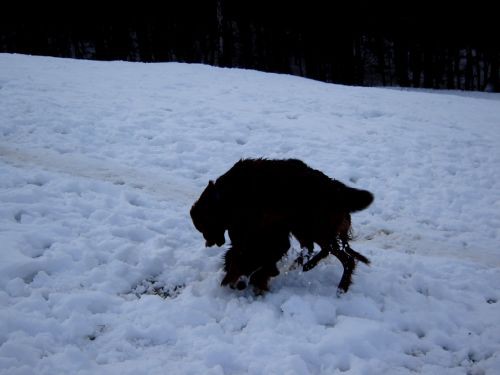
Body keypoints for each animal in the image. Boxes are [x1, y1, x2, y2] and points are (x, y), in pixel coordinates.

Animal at [191, 159, 376, 294]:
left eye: (203, 227)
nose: (209, 243)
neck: (223, 198)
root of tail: (337, 190)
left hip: (316, 228)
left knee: (344, 258)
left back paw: (340, 287)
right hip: (304, 227)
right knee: (316, 249)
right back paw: (303, 265)